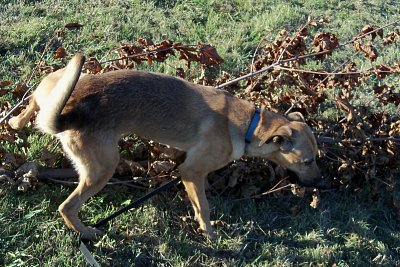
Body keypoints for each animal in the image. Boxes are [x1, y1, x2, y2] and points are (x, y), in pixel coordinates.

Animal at [8, 54, 322, 241]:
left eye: (315, 159)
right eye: (307, 162)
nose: (320, 182)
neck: (249, 125)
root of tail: (68, 112)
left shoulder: (189, 171)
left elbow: (199, 203)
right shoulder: (192, 171)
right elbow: (204, 207)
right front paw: (209, 234)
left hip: (54, 87)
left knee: (30, 107)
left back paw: (16, 120)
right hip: (102, 170)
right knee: (67, 207)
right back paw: (86, 232)